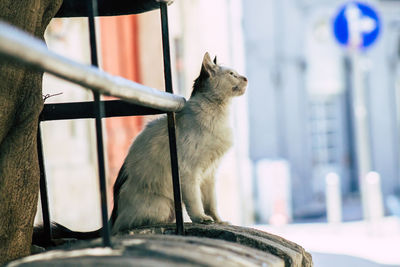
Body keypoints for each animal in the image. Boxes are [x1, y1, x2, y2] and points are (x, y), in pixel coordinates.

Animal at [32, 51, 248, 246]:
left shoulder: (210, 173)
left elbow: (211, 202)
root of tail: (112, 217)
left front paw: (219, 220)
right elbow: (195, 201)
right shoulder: (189, 173)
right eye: (232, 74)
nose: (246, 78)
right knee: (132, 225)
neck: (218, 112)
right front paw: (201, 219)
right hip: (163, 204)